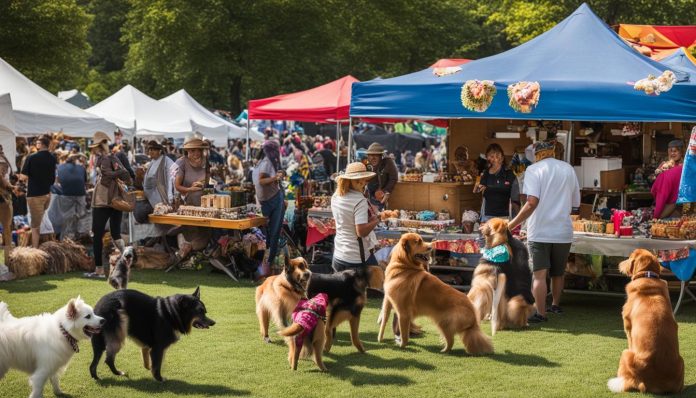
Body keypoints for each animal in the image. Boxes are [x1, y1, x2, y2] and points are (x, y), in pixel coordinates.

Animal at [608, 250, 684, 394]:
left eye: (630, 257)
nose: (618, 263)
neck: (647, 275)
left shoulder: (628, 328)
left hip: (625, 353)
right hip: (681, 361)